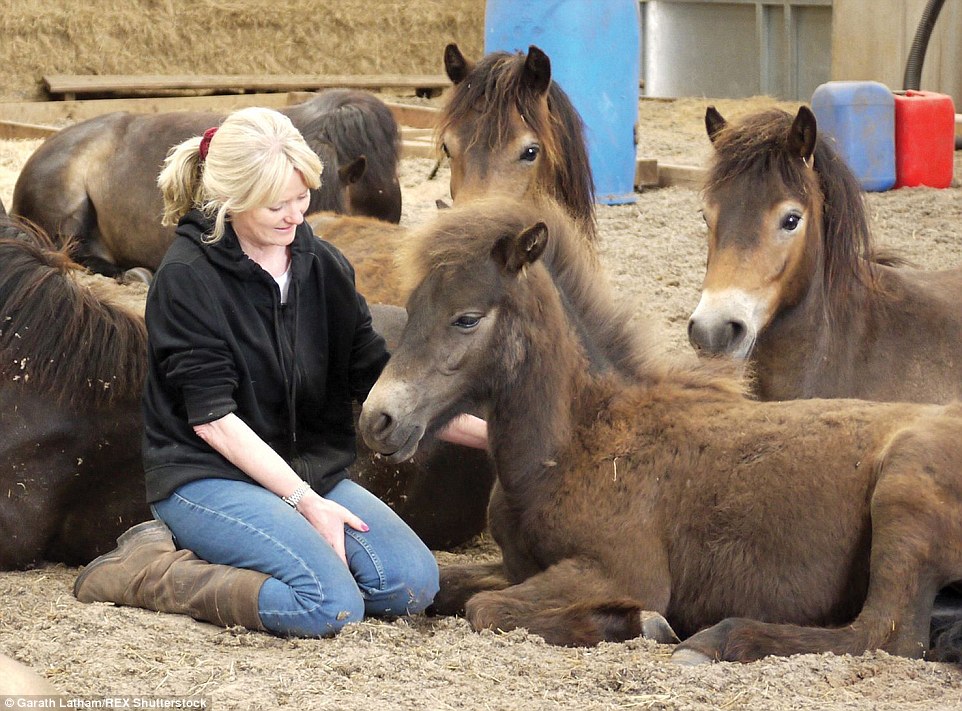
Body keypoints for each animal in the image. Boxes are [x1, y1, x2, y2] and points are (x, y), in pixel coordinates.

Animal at [356, 196, 960, 660]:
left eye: (467, 318)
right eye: (412, 305)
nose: (378, 419)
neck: (577, 443)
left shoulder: (625, 573)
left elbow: (485, 608)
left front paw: (634, 624)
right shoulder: (517, 565)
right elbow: (447, 587)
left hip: (902, 499)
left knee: (885, 634)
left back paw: (715, 640)